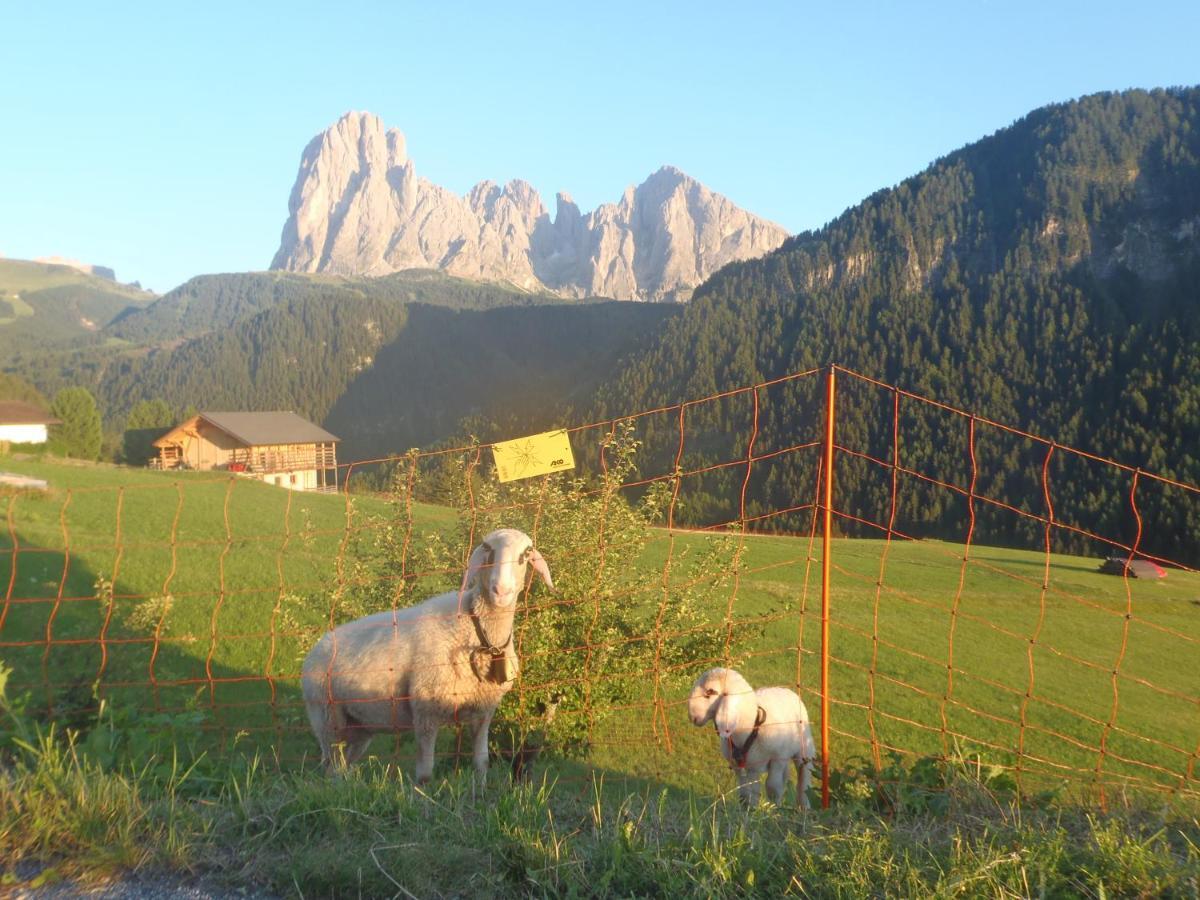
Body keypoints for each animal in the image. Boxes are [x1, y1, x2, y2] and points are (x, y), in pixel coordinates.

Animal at [300, 528, 552, 782]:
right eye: (487, 548)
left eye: (526, 553)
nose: (501, 591)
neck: (479, 632)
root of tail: (316, 648)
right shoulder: (425, 712)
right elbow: (425, 773)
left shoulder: (483, 710)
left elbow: (481, 764)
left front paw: (479, 789)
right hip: (327, 718)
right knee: (331, 766)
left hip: (360, 726)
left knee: (341, 767)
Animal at [686, 672, 816, 811]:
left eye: (710, 691)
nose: (692, 717)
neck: (750, 727)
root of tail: (786, 690)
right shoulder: (743, 766)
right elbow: (747, 793)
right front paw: (751, 810)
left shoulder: (778, 758)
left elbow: (772, 786)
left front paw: (774, 808)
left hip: (804, 747)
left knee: (804, 775)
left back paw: (804, 806)